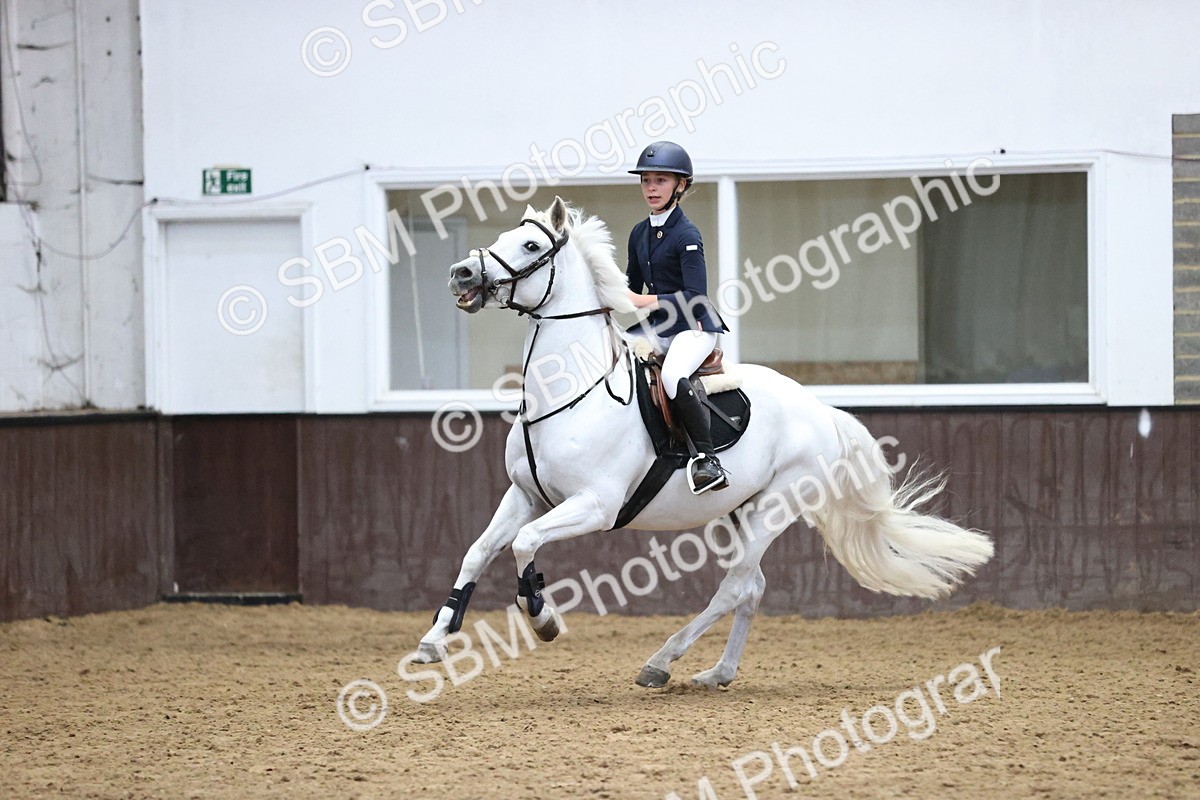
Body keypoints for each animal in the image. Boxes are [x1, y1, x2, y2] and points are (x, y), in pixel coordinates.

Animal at [417, 196, 994, 689]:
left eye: (531, 245)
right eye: (502, 236)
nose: (461, 273)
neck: (570, 389)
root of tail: (822, 411)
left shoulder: (595, 505)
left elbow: (524, 543)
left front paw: (541, 616)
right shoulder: (526, 495)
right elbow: (478, 551)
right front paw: (435, 638)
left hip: (776, 506)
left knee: (735, 585)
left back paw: (660, 662)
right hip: (742, 508)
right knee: (752, 586)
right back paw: (718, 673)